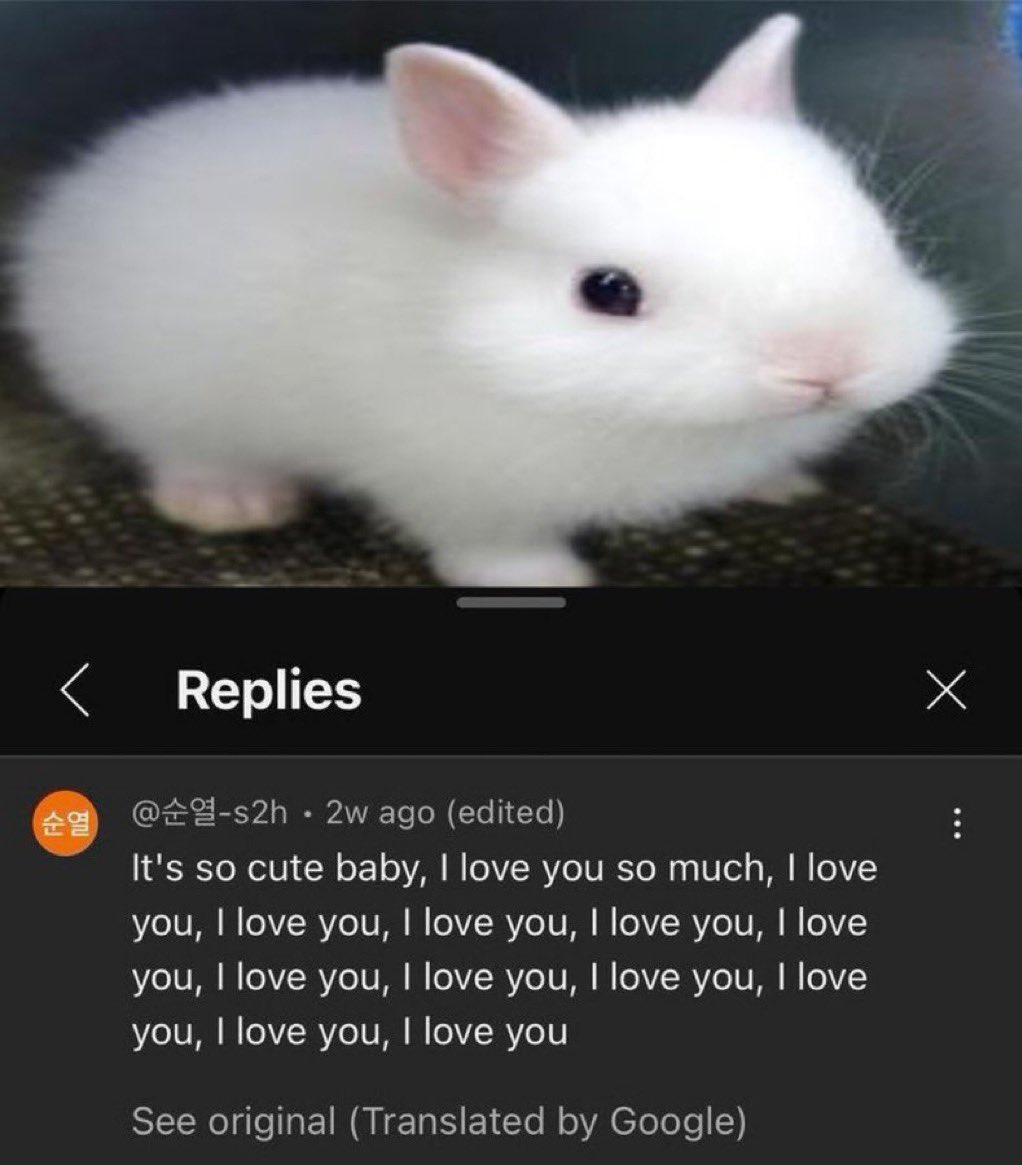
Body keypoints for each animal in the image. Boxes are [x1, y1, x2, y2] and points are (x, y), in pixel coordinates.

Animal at [10, 14, 956, 587]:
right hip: (163, 395)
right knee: (177, 449)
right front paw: (548, 583)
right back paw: (233, 505)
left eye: (875, 229)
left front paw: (781, 487)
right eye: (607, 292)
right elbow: (492, 544)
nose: (826, 367)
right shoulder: (453, 484)